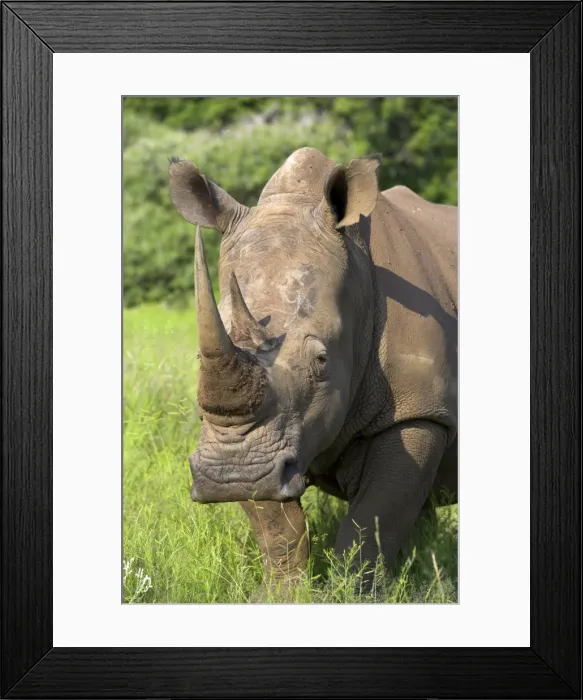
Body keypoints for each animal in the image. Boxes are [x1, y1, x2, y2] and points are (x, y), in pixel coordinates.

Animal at [169, 147, 457, 588]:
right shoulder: (264, 445)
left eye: (321, 361)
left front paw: (353, 592)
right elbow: (277, 526)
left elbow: (373, 521)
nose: (231, 474)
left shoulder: (419, 411)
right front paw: (281, 594)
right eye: (198, 361)